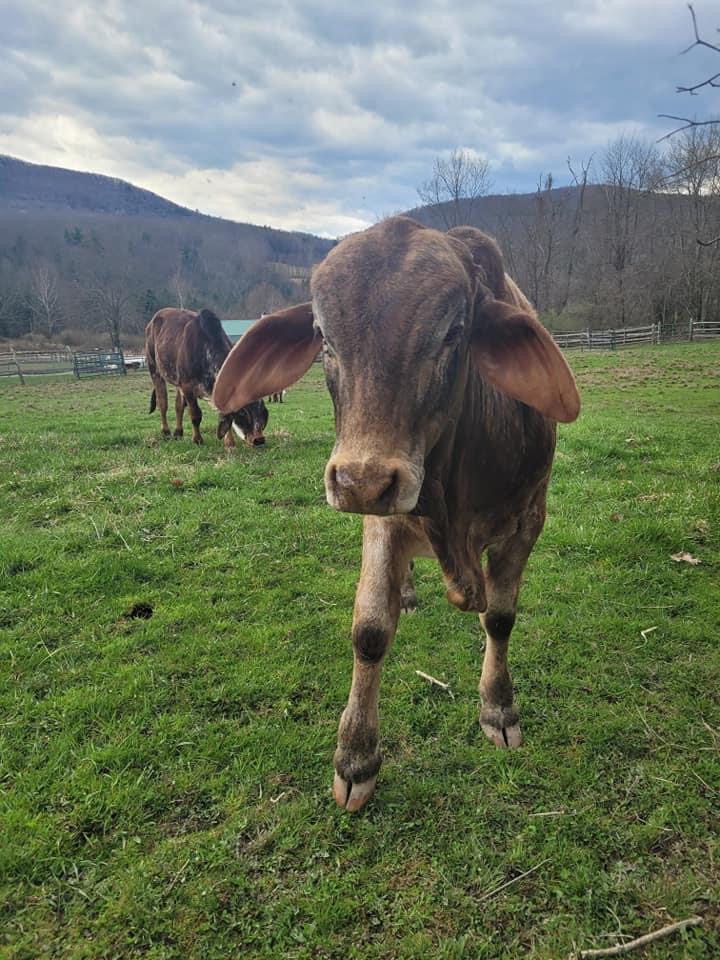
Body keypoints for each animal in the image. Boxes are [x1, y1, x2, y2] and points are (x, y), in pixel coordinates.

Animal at [144, 307, 268, 447]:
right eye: (242, 412)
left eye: (261, 410)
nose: (259, 439)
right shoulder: (187, 386)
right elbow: (195, 415)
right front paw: (197, 439)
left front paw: (229, 442)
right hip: (154, 369)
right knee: (162, 402)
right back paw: (165, 431)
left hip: (177, 381)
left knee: (178, 406)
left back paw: (178, 432)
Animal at [213, 216, 580, 811]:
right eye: (322, 335)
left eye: (455, 331)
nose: (360, 481)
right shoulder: (383, 522)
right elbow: (369, 631)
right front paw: (356, 757)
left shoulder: (528, 522)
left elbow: (500, 619)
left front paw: (498, 709)